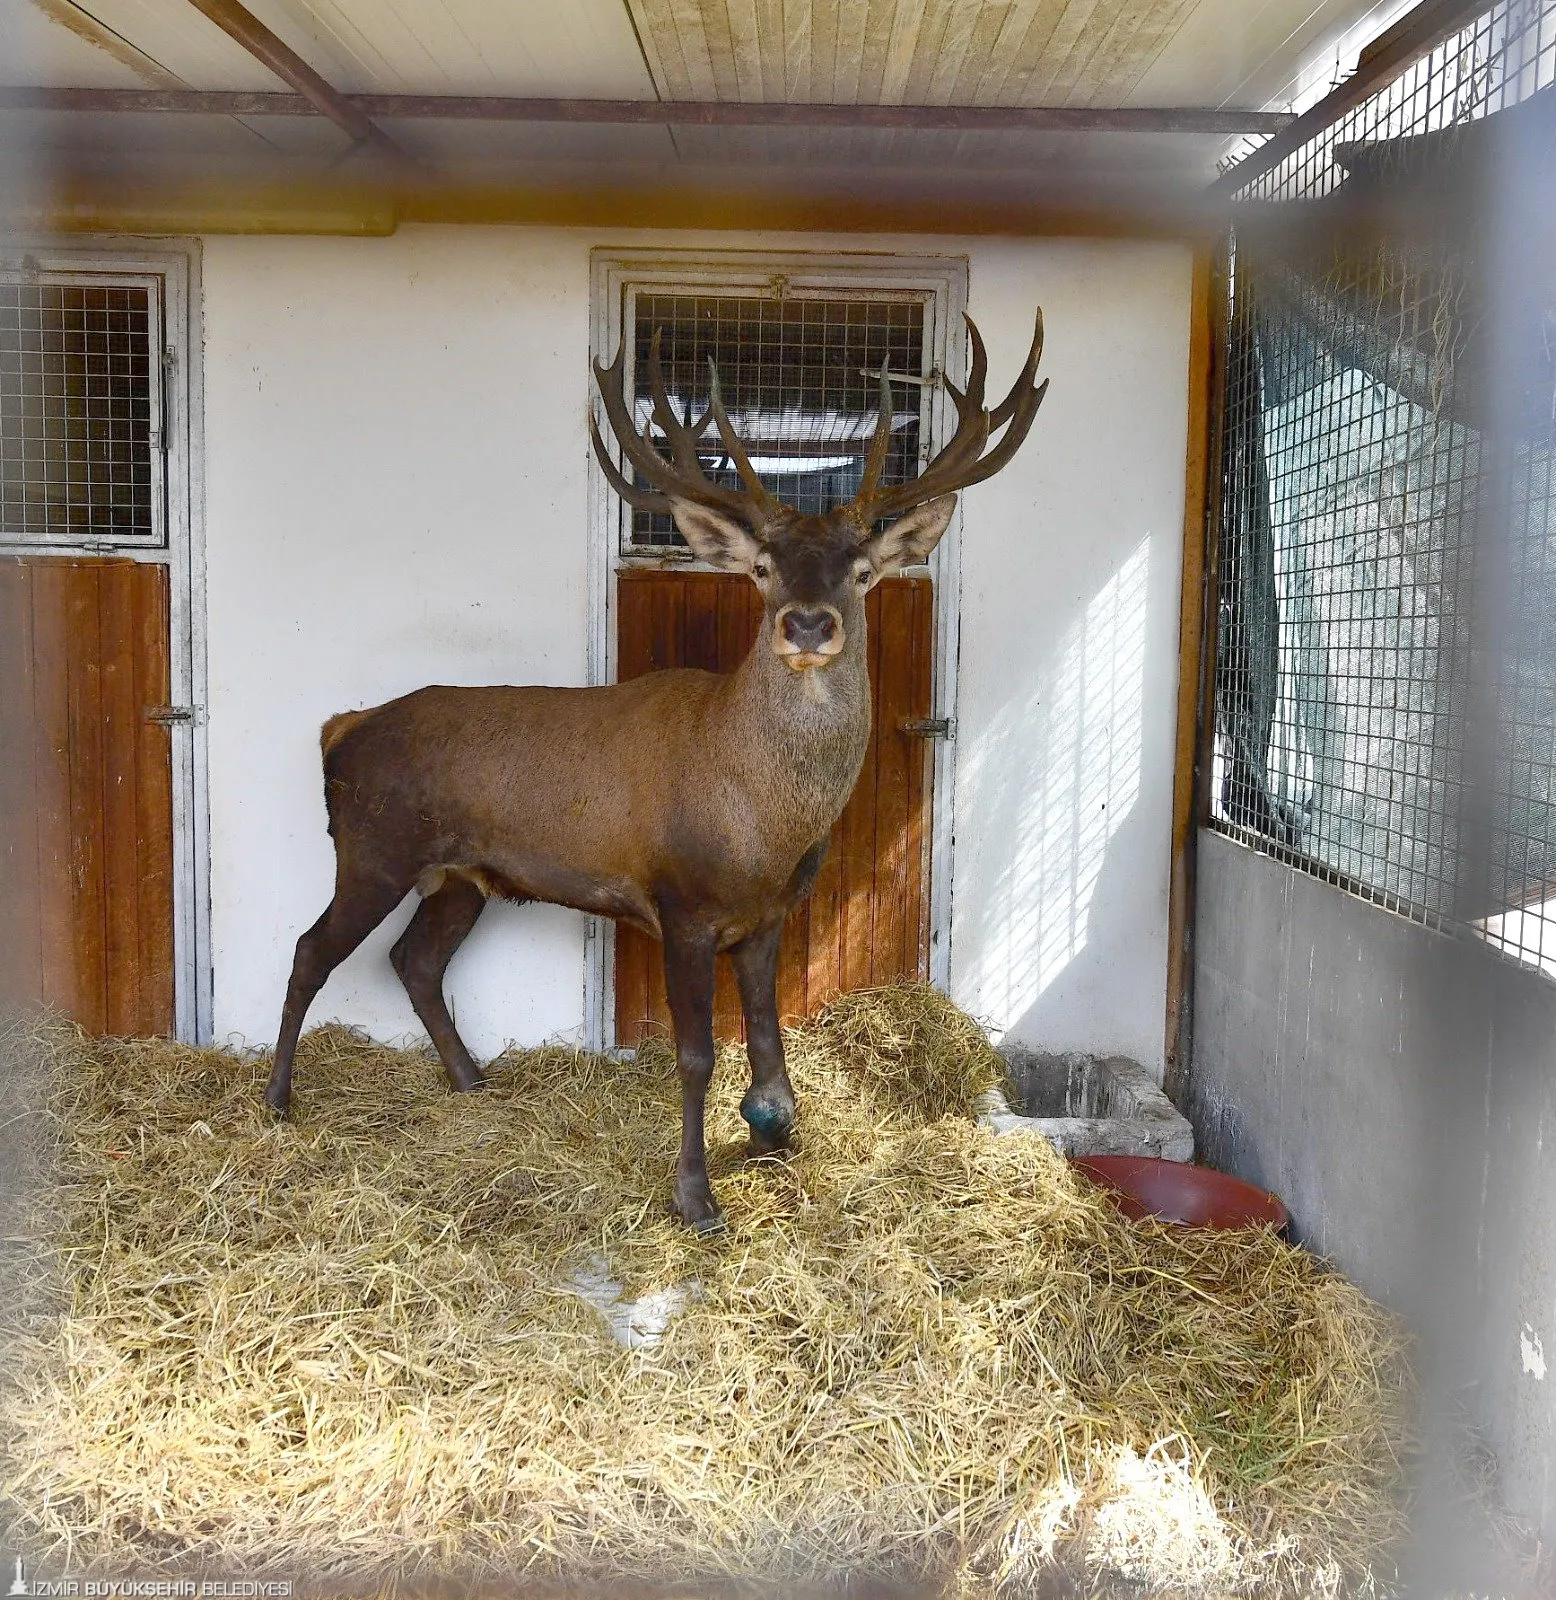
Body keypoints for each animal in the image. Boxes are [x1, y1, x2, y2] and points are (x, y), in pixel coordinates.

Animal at [264, 315, 1043, 1235]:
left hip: (461, 876)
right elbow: (698, 1054)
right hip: (373, 848)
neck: (765, 823)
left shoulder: (769, 914)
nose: (807, 624)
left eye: (860, 570)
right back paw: (278, 1100)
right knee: (312, 949)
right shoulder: (683, 903)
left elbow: (769, 1039)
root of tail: (339, 729)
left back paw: (473, 1080)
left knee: (415, 961)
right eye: (762, 567)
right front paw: (696, 1195)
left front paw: (777, 1135)